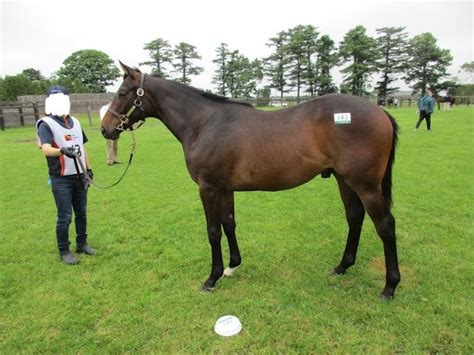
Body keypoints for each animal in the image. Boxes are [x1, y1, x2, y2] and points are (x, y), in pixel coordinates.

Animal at [101, 62, 400, 298]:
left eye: (122, 93)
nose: (105, 129)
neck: (204, 123)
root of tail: (379, 111)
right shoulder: (224, 189)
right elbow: (229, 224)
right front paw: (232, 265)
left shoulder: (208, 188)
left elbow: (213, 231)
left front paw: (212, 278)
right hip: (344, 180)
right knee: (355, 217)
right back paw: (342, 266)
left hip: (365, 185)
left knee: (385, 225)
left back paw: (390, 286)